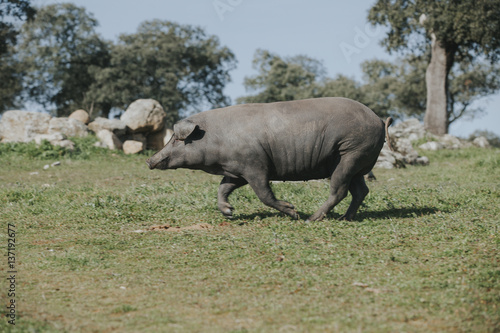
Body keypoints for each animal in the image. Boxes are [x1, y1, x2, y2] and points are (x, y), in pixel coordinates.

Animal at [146, 96, 392, 220]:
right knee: (360, 191)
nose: (149, 160)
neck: (217, 138)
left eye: (176, 140)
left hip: (350, 153)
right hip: (357, 162)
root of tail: (379, 120)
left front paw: (293, 211)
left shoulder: (255, 165)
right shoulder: (236, 171)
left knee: (339, 190)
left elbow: (264, 194)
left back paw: (311, 219)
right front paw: (229, 213)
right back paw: (344, 218)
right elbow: (223, 188)